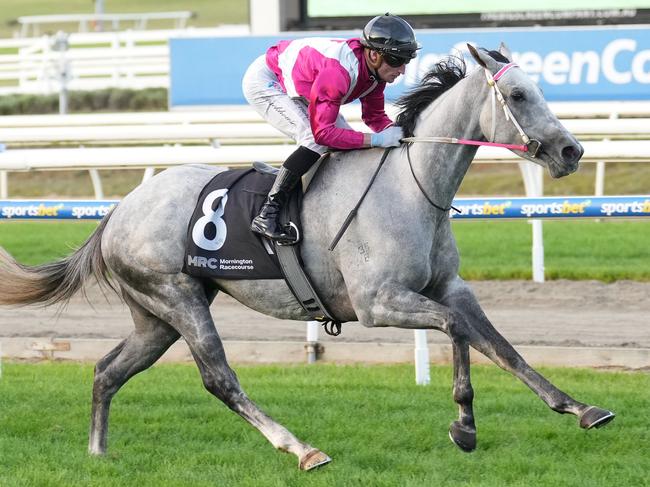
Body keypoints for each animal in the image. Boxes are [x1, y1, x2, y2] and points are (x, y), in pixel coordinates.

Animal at [0, 44, 612, 468]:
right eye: (519, 96)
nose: (572, 150)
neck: (410, 187)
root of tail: (117, 212)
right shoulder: (377, 302)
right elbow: (457, 330)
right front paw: (464, 426)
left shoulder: (447, 287)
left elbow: (501, 345)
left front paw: (582, 408)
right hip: (175, 297)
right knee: (218, 378)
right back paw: (301, 449)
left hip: (156, 317)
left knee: (108, 371)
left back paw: (98, 453)